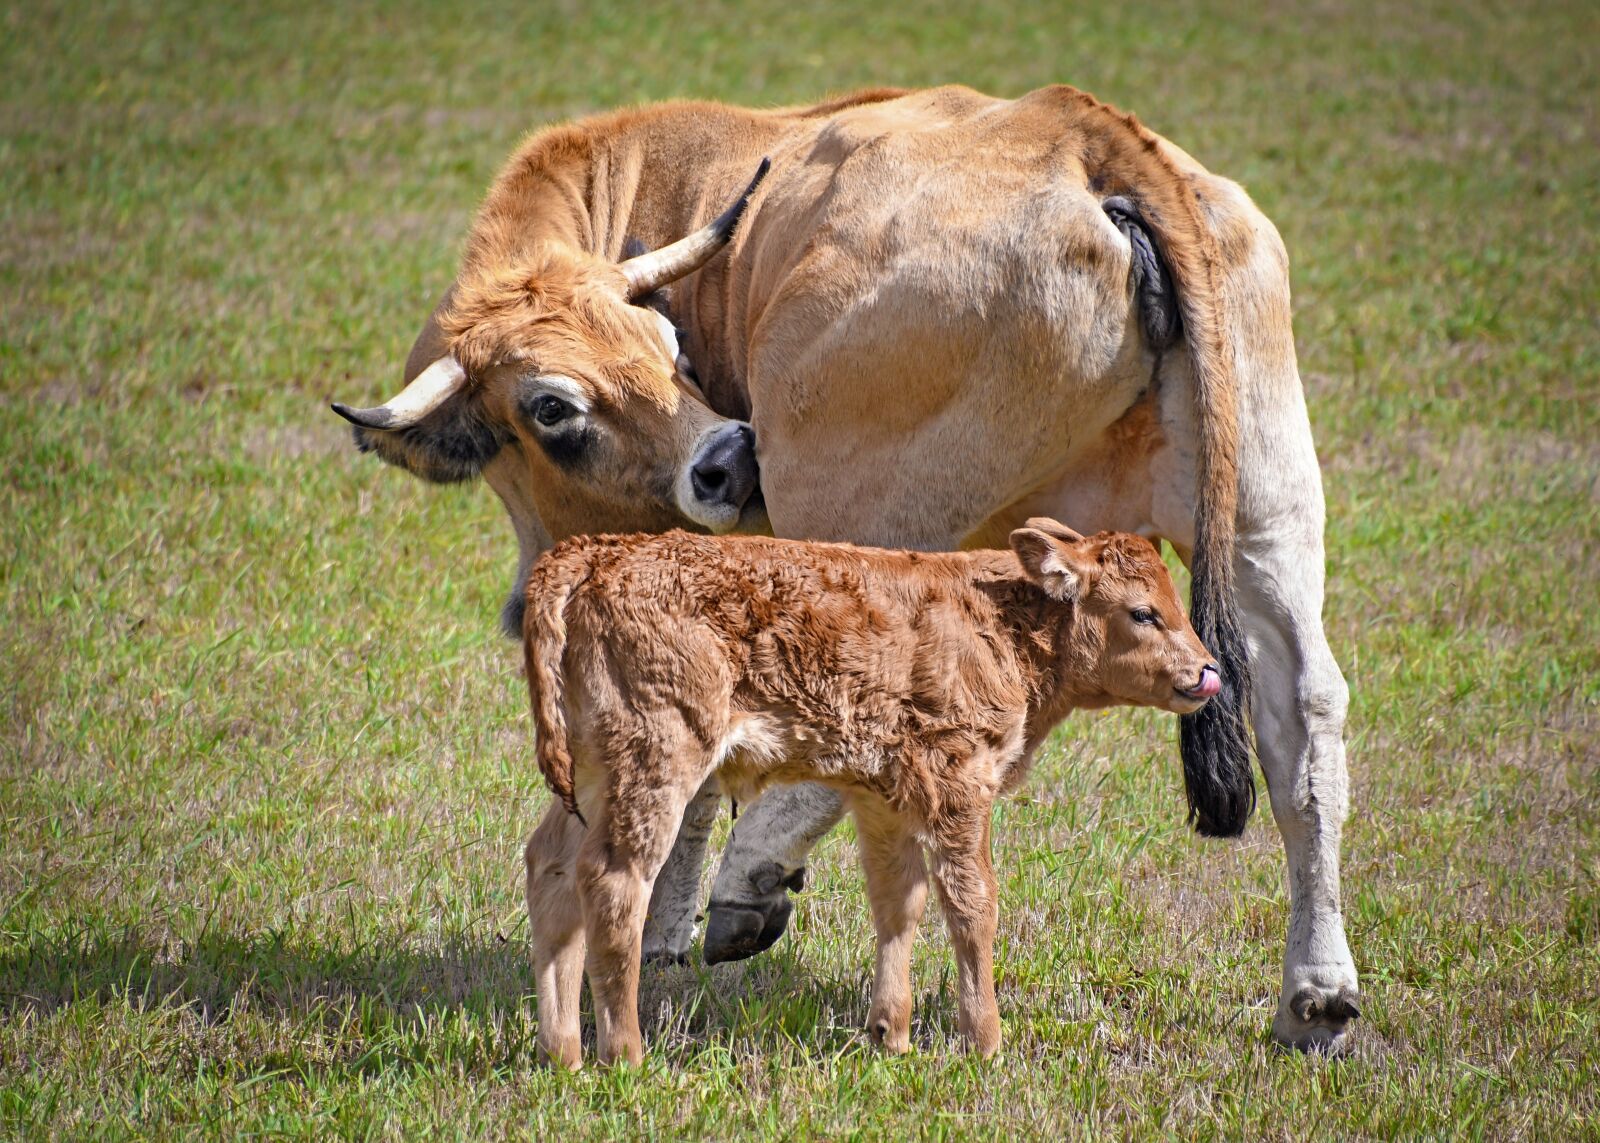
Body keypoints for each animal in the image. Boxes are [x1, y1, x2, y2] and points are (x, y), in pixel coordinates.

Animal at [521, 521, 1221, 1066]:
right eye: (1143, 612)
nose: (1208, 671)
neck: (1001, 622)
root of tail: (596, 553)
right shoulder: (959, 783)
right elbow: (972, 905)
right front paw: (985, 1042)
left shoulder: (884, 798)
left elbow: (899, 903)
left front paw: (892, 1034)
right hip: (656, 760)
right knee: (614, 883)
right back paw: (625, 1054)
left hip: (592, 775)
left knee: (550, 869)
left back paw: (564, 1053)